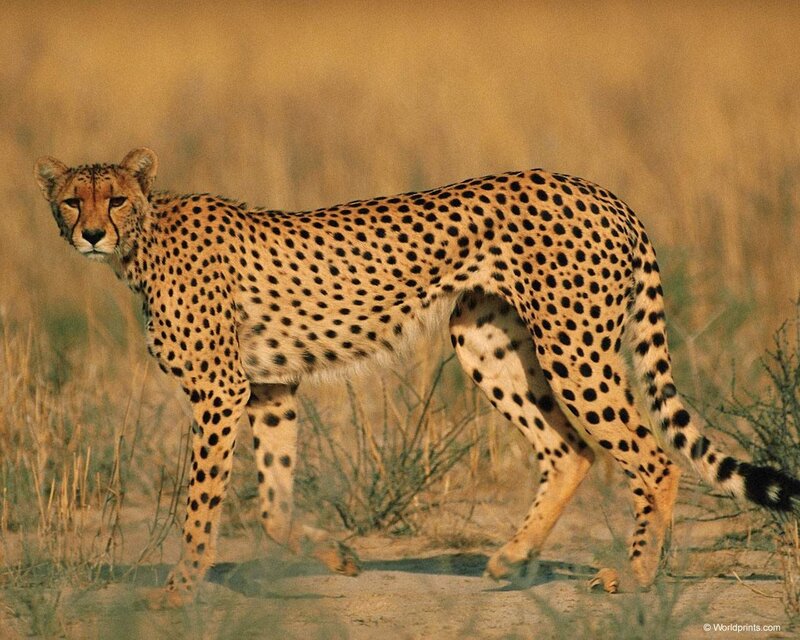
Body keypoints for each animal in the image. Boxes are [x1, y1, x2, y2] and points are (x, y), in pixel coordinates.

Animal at [34, 147, 800, 603]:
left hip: (573, 348)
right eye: (74, 199)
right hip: (485, 341)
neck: (143, 240)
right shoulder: (271, 386)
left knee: (652, 456)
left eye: (116, 199)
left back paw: (635, 575)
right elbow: (274, 505)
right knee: (570, 450)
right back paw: (510, 557)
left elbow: (200, 504)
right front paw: (338, 558)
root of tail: (602, 191)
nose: (91, 233)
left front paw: (177, 591)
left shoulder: (220, 391)